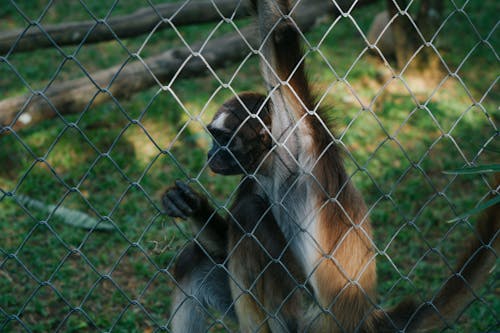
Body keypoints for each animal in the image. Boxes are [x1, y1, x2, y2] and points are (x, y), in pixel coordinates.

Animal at [162, 0, 498, 330]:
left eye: (222, 138)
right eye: (213, 138)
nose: (210, 155)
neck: (276, 165)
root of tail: (362, 318)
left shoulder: (301, 134)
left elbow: (280, 36)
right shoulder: (254, 176)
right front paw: (191, 205)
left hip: (312, 317)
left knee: (249, 214)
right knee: (193, 258)